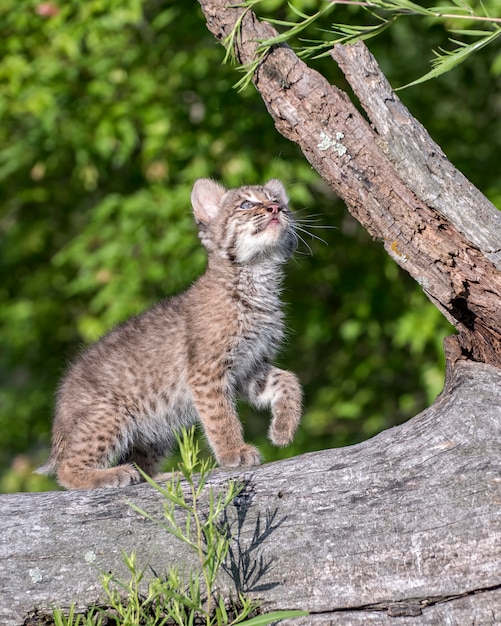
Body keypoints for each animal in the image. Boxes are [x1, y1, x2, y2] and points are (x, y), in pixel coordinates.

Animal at [38, 177, 300, 488]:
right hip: (112, 414)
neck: (257, 276)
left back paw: (164, 476)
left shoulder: (249, 366)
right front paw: (234, 452)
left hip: (156, 424)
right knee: (67, 469)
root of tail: (58, 418)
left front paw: (283, 429)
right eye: (246, 204)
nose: (275, 209)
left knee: (141, 465)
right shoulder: (206, 373)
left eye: (277, 200)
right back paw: (111, 474)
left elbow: (289, 380)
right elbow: (221, 417)